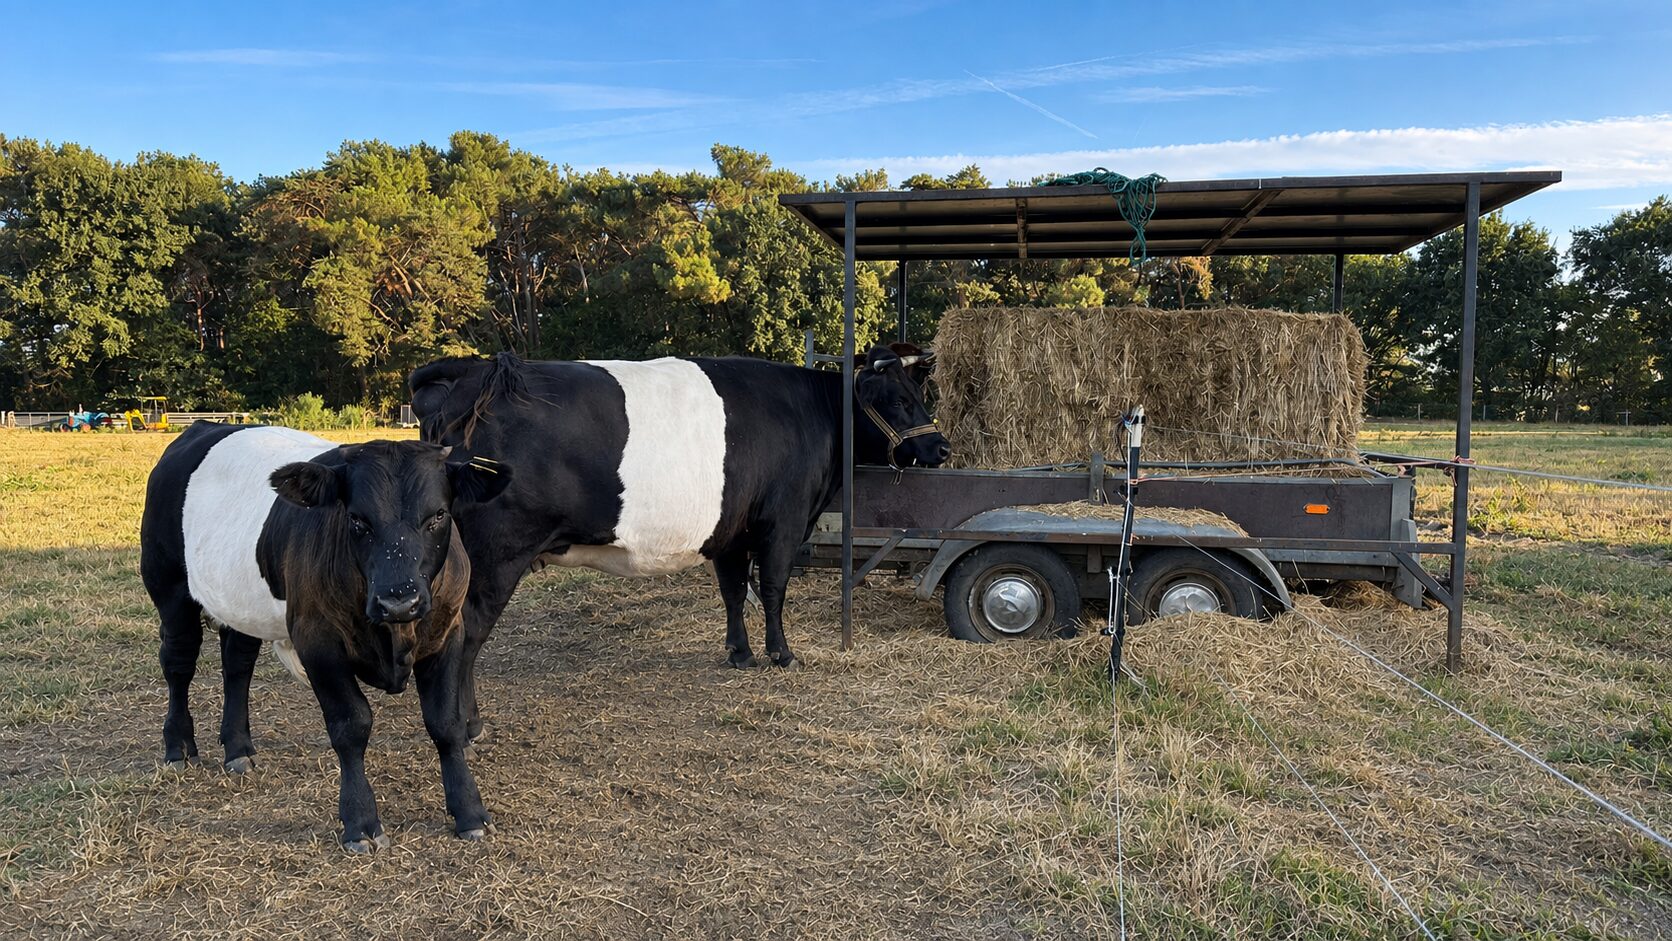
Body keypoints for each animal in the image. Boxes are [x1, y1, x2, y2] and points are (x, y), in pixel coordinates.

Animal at [139, 423, 510, 852]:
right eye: (357, 519)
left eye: (438, 515)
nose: (399, 600)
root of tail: (207, 426)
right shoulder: (318, 642)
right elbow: (351, 725)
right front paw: (361, 822)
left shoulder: (447, 630)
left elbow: (446, 723)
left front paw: (470, 812)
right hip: (169, 586)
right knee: (178, 664)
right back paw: (179, 747)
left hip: (243, 604)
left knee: (237, 665)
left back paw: (238, 748)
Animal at [408, 344, 948, 738]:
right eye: (898, 400)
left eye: (918, 394)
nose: (941, 447)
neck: (812, 411)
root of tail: (476, 371)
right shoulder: (785, 520)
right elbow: (773, 589)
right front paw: (782, 654)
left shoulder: (731, 532)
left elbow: (734, 592)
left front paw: (740, 654)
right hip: (494, 555)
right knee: (466, 635)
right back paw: (469, 724)